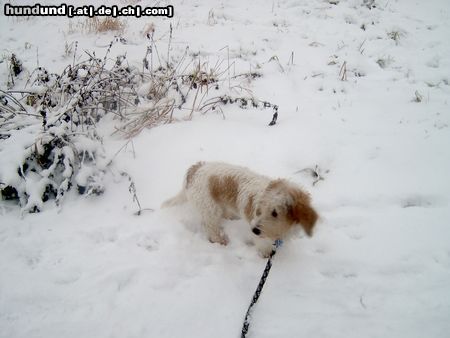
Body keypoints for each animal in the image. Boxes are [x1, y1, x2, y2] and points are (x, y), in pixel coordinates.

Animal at [161, 162, 316, 255]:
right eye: (259, 209)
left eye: (275, 213)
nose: (254, 230)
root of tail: (195, 169)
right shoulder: (260, 238)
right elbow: (264, 247)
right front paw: (266, 256)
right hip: (210, 210)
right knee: (211, 228)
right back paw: (220, 240)